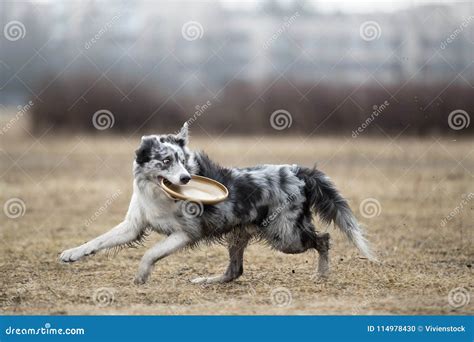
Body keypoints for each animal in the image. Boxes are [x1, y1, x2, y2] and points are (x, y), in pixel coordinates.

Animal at [59, 124, 372, 284]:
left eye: (182, 161)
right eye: (165, 161)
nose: (186, 179)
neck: (160, 194)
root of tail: (299, 172)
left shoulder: (185, 233)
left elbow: (150, 253)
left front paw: (141, 275)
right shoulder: (133, 226)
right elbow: (98, 240)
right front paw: (71, 253)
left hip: (286, 236)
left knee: (324, 239)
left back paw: (322, 273)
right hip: (240, 234)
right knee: (235, 271)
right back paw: (207, 280)